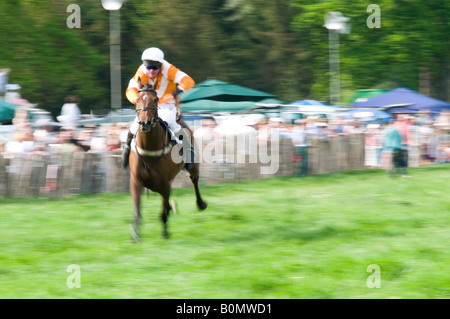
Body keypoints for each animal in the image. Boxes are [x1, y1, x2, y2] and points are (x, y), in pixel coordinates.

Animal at [130, 80, 207, 242]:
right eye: (137, 100)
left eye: (155, 99)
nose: (145, 123)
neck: (150, 150)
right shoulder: (136, 181)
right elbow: (137, 209)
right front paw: (135, 234)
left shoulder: (164, 184)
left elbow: (163, 212)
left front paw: (165, 233)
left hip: (193, 165)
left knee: (195, 180)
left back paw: (200, 203)